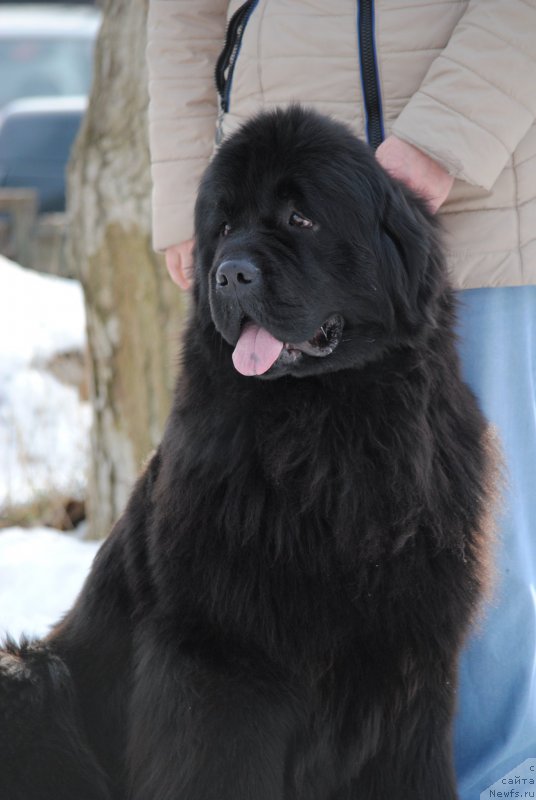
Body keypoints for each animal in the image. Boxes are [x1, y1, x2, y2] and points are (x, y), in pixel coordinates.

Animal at [1, 108, 494, 800]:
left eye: (300, 218)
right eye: (225, 227)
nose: (229, 274)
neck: (325, 436)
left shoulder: (410, 663)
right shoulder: (221, 661)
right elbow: (217, 768)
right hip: (29, 681)